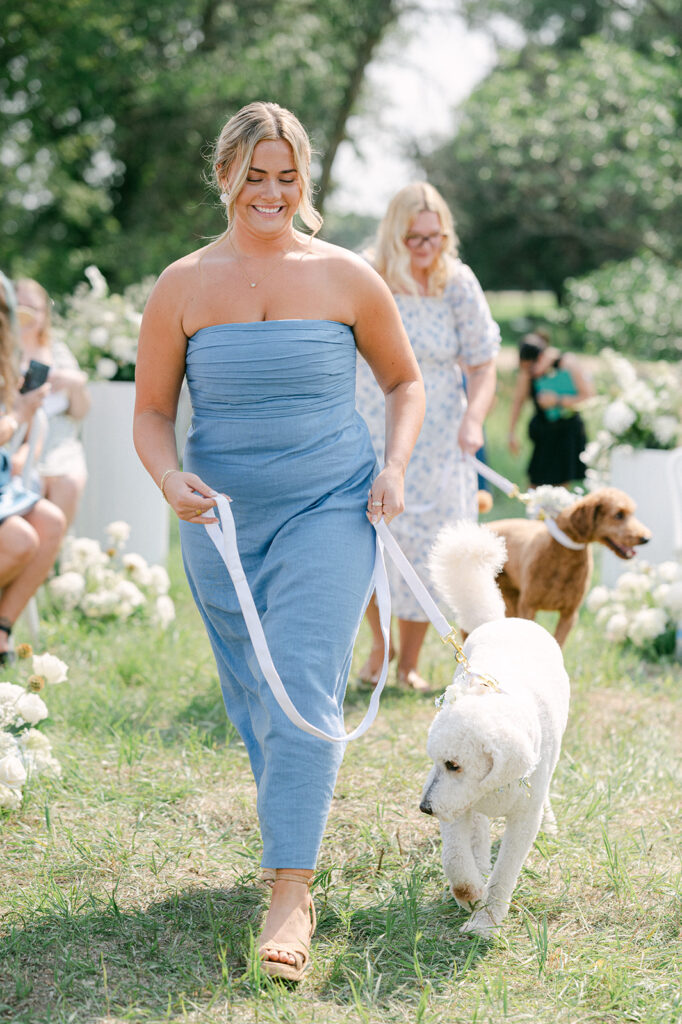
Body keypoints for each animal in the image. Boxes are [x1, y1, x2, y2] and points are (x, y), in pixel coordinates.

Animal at [419, 528, 569, 937]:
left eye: (454, 765)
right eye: (434, 761)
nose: (425, 808)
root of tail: (506, 620)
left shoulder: (521, 820)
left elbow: (506, 873)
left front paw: (485, 920)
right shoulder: (455, 804)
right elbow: (455, 859)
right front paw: (470, 894)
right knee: (479, 830)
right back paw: (480, 859)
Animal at [485, 483, 651, 643]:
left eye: (632, 513)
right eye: (618, 515)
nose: (646, 538)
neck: (563, 557)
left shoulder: (569, 614)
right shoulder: (528, 607)